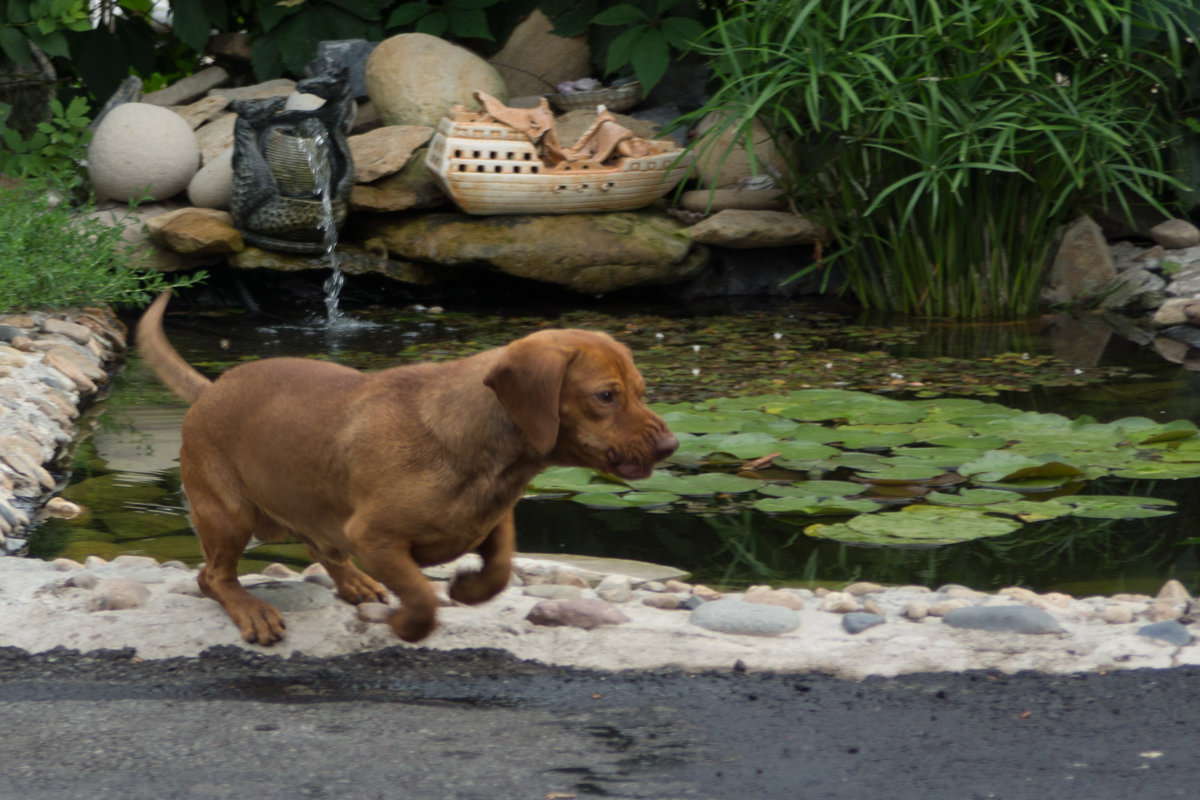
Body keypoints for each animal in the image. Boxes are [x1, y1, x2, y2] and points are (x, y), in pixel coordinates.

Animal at [135, 292, 676, 642]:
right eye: (605, 396)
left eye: (642, 390)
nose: (671, 445)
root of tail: (210, 388)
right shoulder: (376, 539)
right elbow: (421, 595)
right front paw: (409, 626)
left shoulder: (492, 520)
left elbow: (501, 567)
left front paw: (470, 588)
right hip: (229, 516)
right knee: (213, 578)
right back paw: (252, 611)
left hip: (309, 509)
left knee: (319, 548)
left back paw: (354, 582)